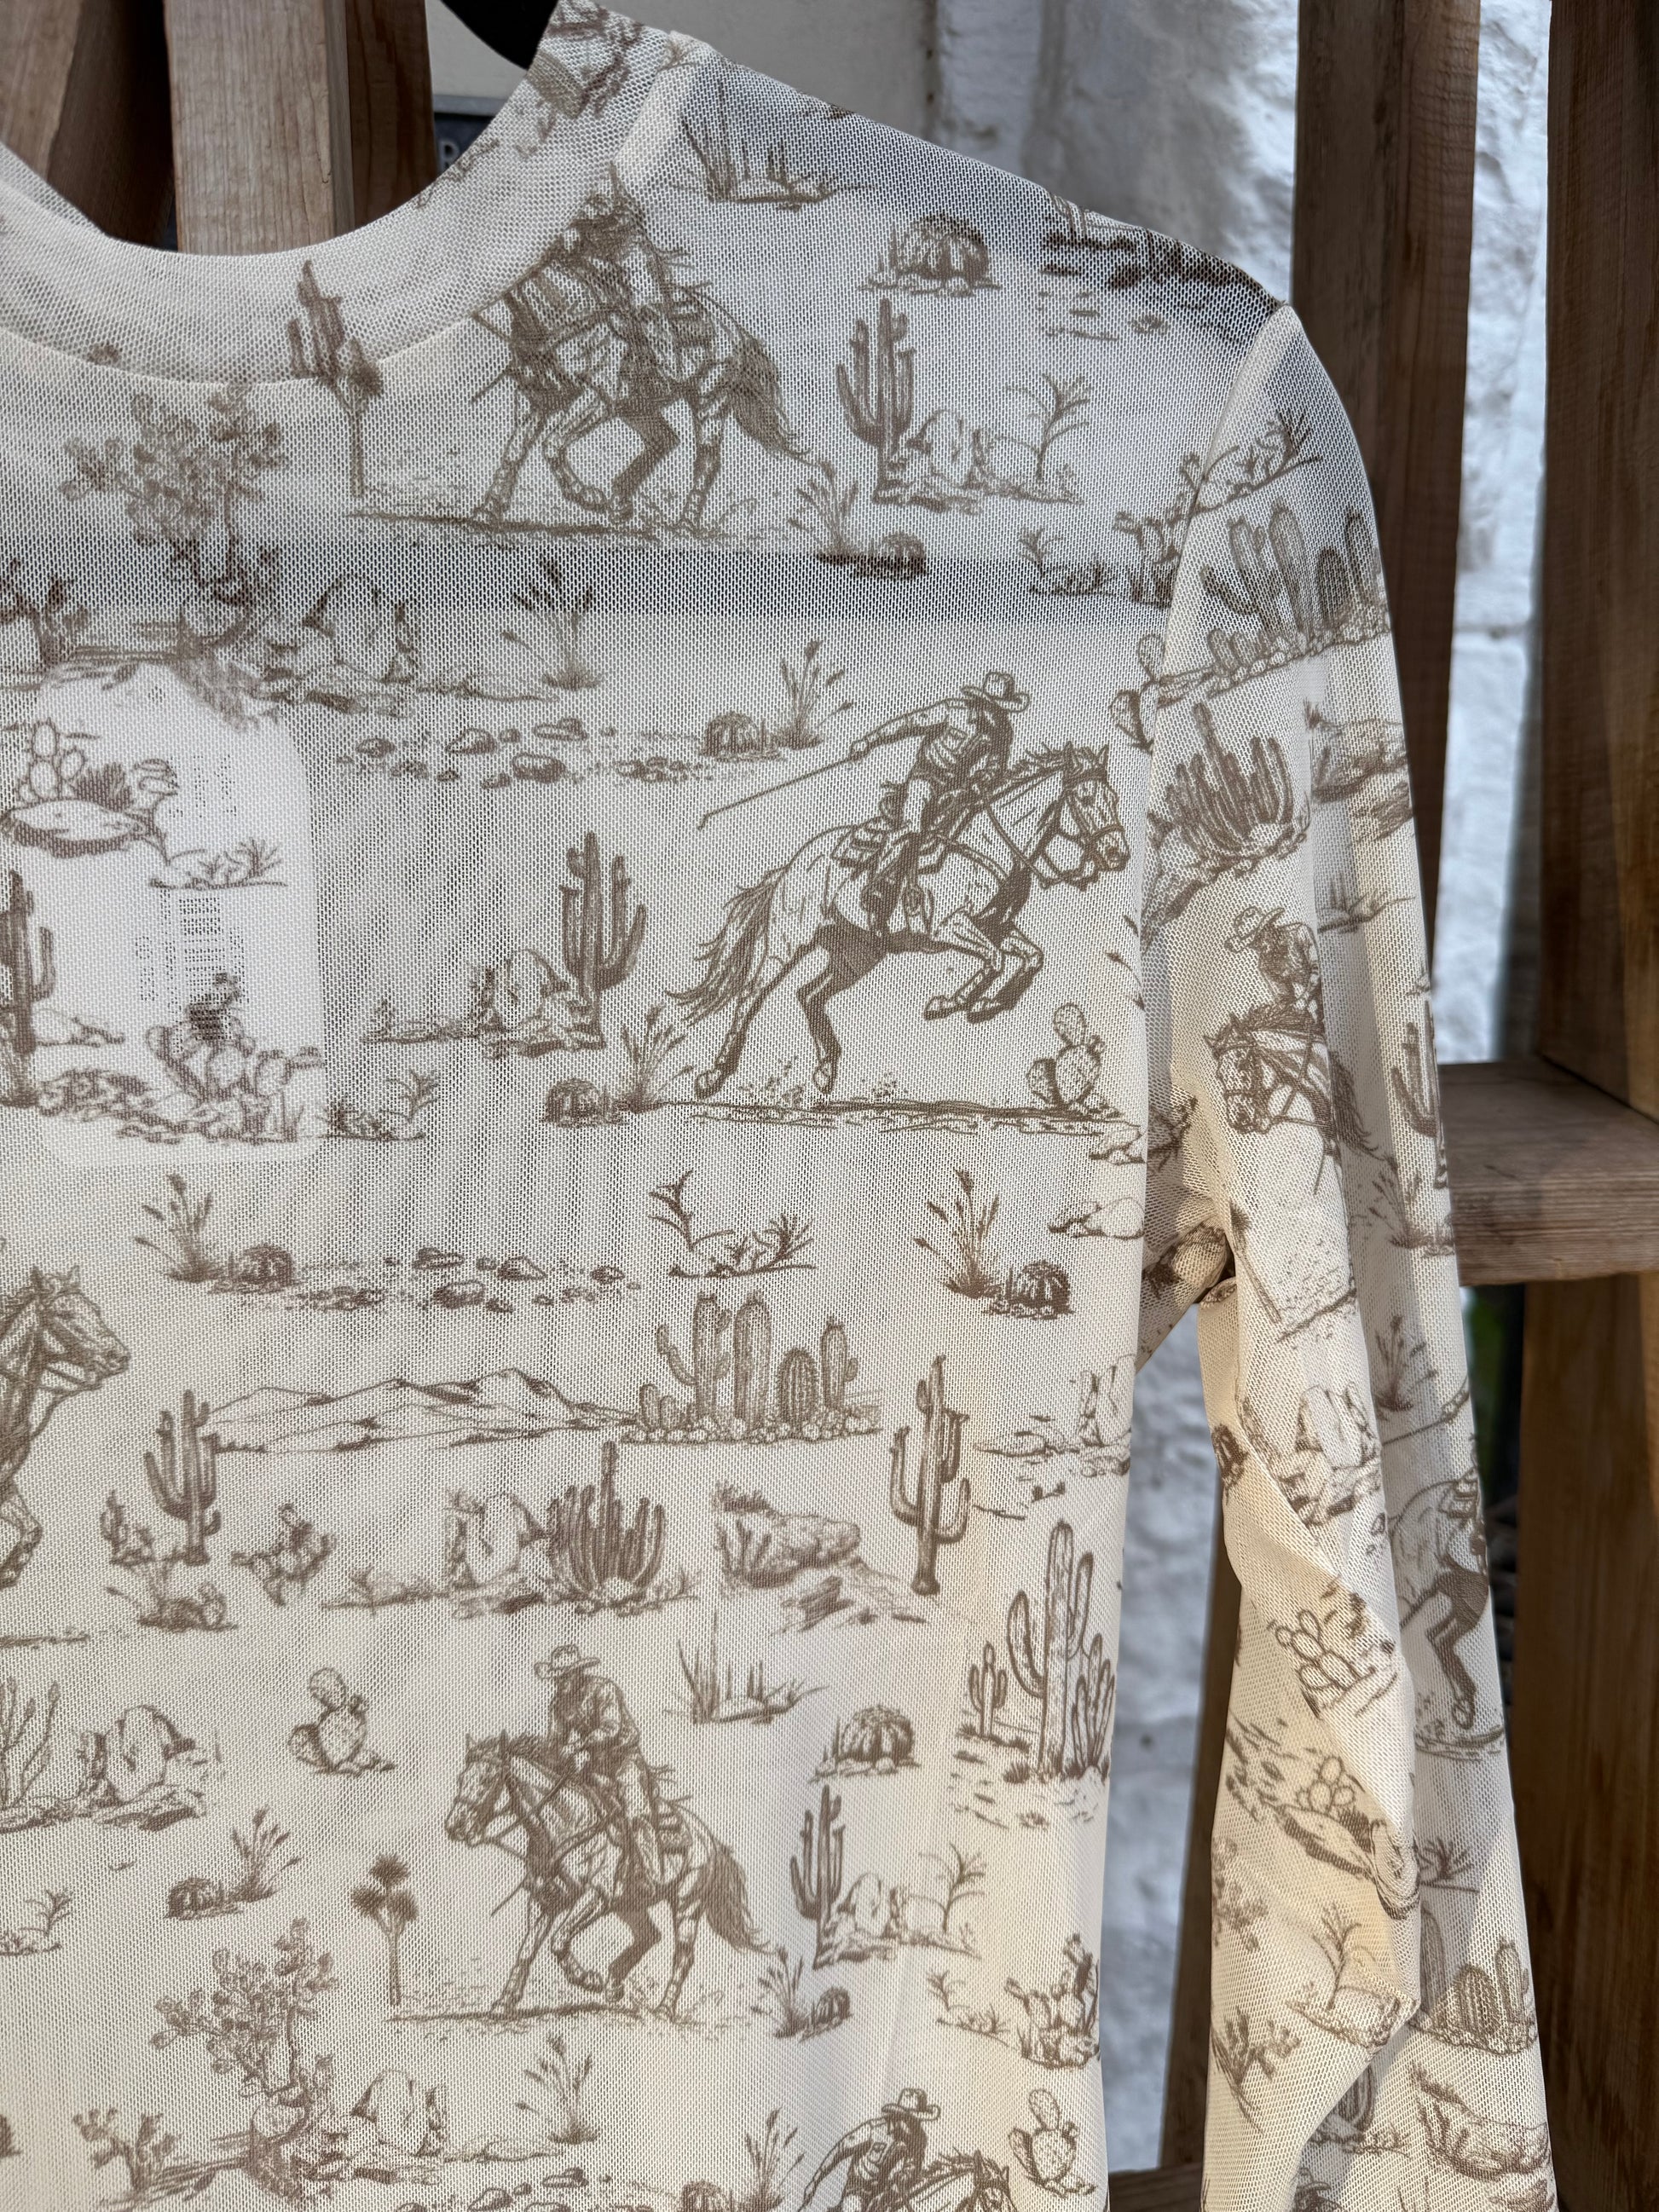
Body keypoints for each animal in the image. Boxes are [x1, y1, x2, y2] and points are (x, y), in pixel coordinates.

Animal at [0, 1268, 130, 1590]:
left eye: (95, 1310)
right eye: (64, 1314)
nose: (118, 1356)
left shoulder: (5, 1483)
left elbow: (33, 1529)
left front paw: (8, 1573)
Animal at [445, 1733, 767, 2016]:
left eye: (487, 1779)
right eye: (461, 1779)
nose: (454, 1826)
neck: (567, 1826)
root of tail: (708, 1837)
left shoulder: (595, 1896)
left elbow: (558, 1940)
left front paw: (586, 1978)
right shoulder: (544, 1900)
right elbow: (526, 1950)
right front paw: (504, 2003)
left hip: (687, 1904)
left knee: (683, 1957)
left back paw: (663, 2008)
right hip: (630, 1905)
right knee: (649, 1936)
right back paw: (614, 1985)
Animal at [470, 178, 800, 534]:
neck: (562, 313)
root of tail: (732, 329)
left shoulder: (598, 398)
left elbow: (552, 445)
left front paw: (587, 496)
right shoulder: (535, 398)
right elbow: (514, 453)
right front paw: (488, 511)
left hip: (709, 399)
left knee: (707, 461)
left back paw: (684, 524)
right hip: (638, 406)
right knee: (664, 440)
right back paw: (620, 503)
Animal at [676, 746, 1131, 1101]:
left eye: (1114, 797)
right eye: (1086, 798)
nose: (1118, 855)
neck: (986, 843)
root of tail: (795, 865)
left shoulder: (994, 926)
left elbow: (1030, 957)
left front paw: (986, 1005)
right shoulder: (951, 926)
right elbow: (995, 960)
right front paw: (949, 1003)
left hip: (858, 954)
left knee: (809, 995)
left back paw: (825, 1070)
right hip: (786, 945)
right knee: (749, 998)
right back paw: (713, 1075)